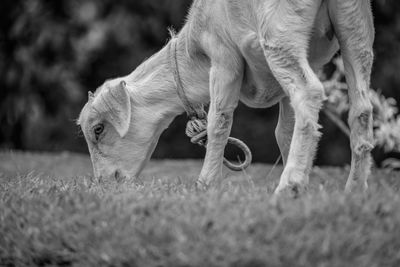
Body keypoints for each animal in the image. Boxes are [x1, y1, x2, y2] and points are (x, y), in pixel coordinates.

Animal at [78, 0, 376, 194]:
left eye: (98, 129)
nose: (104, 184)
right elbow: (285, 130)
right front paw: (304, 187)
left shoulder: (223, 57)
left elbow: (219, 121)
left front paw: (206, 184)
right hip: (355, 25)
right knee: (361, 107)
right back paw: (355, 189)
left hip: (280, 32)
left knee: (309, 92)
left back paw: (288, 185)